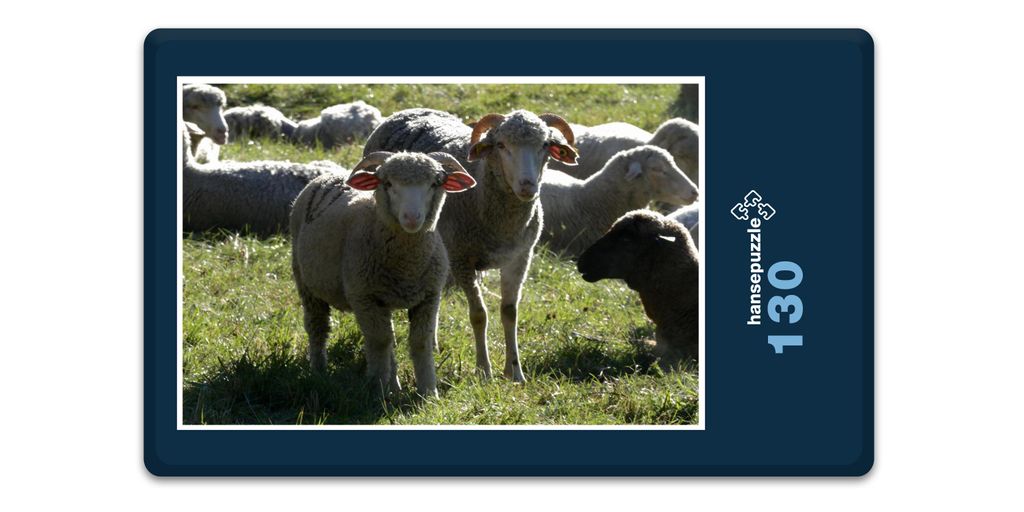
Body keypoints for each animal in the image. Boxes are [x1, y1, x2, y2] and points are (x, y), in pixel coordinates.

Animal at [290, 151, 477, 397]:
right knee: (318, 327)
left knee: (390, 339)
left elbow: (420, 341)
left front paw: (428, 392)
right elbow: (379, 341)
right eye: (387, 184)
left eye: (435, 183)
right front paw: (377, 390)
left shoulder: (429, 296)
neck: (406, 265)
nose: (411, 218)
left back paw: (394, 385)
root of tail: (328, 175)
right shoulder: (364, 296)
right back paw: (319, 371)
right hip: (306, 282)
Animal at [364, 108, 580, 382]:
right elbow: (479, 315)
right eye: (501, 145)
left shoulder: (520, 257)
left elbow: (509, 312)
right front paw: (484, 371)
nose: (527, 185)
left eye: (545, 144)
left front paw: (514, 372)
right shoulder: (462, 259)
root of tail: (407, 111)